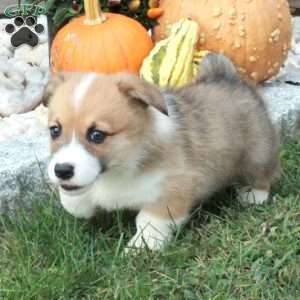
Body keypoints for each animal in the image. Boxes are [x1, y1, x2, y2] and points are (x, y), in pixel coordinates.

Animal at [43, 54, 278, 251]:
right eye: (55, 130)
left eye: (97, 135)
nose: (62, 171)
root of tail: (227, 77)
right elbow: (73, 202)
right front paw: (80, 205)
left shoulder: (173, 189)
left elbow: (149, 220)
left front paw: (141, 247)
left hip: (257, 152)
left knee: (262, 174)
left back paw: (252, 196)